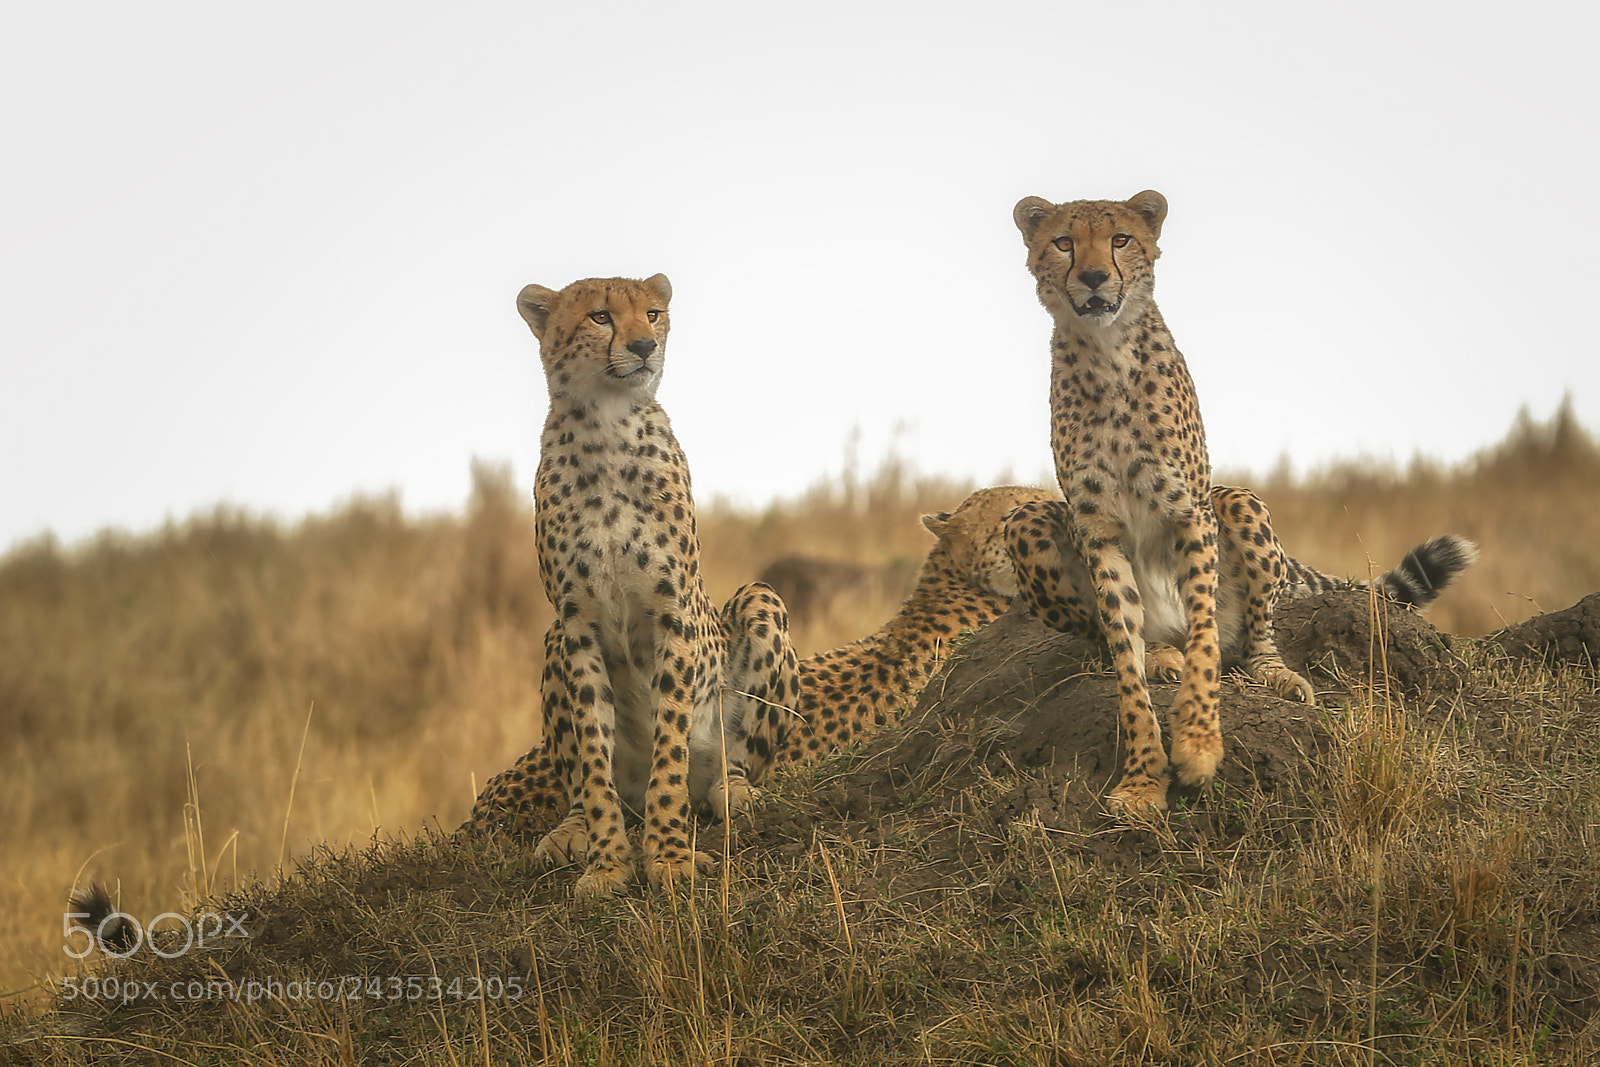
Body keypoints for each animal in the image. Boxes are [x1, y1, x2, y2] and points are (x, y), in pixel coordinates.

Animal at [515, 273, 799, 901]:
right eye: (599, 316)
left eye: (652, 313)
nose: (645, 346)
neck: (606, 427)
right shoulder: (576, 624)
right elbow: (594, 757)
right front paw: (607, 865)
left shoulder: (673, 612)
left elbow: (669, 745)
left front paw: (667, 858)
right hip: (550, 640)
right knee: (586, 781)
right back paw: (570, 831)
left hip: (759, 601)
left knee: (734, 758)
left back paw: (732, 791)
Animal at [1005, 189, 1473, 815]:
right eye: (1063, 242)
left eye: (1120, 239)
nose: (1095, 275)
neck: (1107, 354)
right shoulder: (1096, 528)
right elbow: (1125, 664)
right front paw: (1142, 779)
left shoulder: (1190, 511)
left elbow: (1205, 640)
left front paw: (1199, 746)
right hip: (1026, 520)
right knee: (1131, 638)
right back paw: (1161, 655)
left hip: (1238, 502)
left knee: (1252, 638)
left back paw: (1277, 676)